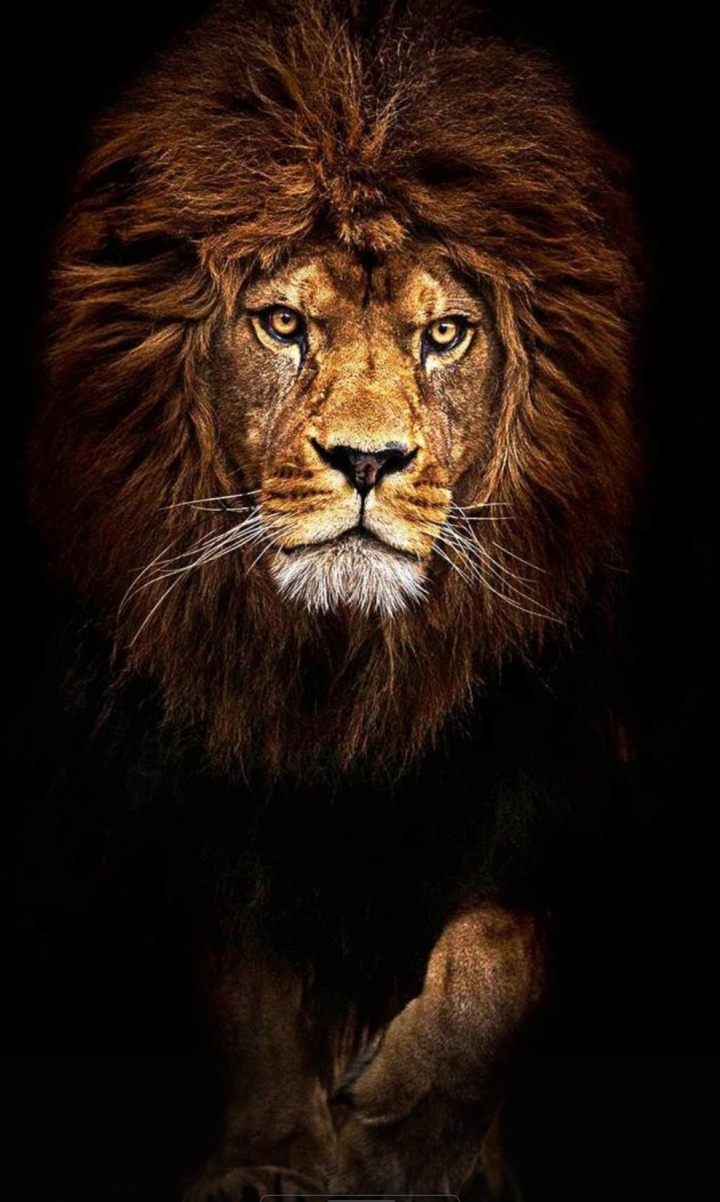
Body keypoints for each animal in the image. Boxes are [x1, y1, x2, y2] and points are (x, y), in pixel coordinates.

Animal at [29, 0, 639, 1195]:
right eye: (281, 324)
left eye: (445, 334)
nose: (366, 460)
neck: (349, 684)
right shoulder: (199, 794)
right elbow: (249, 981)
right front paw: (273, 1158)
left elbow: (496, 947)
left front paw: (407, 1133)